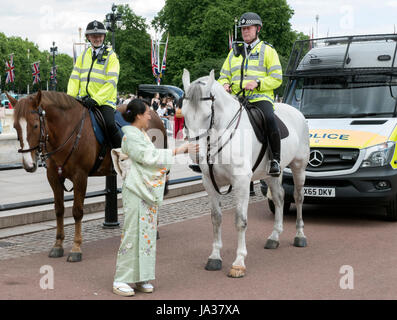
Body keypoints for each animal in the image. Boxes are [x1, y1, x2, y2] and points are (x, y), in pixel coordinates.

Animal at [8, 90, 166, 262]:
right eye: (15, 127)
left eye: (35, 125)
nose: (28, 164)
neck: (67, 130)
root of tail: (155, 115)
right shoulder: (54, 177)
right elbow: (59, 210)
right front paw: (58, 245)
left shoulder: (80, 176)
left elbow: (77, 211)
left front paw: (76, 248)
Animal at [182, 69, 310, 278]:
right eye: (183, 114)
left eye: (208, 115)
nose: (196, 155)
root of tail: (296, 112)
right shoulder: (209, 182)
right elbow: (216, 219)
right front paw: (215, 257)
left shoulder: (242, 182)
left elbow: (240, 221)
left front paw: (239, 263)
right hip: (271, 173)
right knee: (279, 197)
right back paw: (274, 236)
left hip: (299, 167)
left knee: (298, 198)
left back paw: (300, 235)